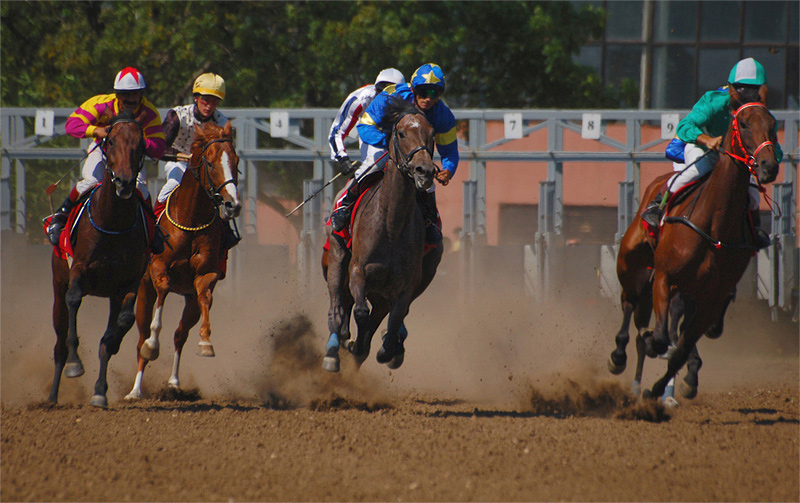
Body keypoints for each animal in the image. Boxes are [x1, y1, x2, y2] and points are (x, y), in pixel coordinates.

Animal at [47, 111, 152, 410]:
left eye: (141, 145)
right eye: (111, 141)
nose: (125, 182)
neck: (112, 222)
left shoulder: (129, 282)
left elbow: (123, 322)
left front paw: (111, 346)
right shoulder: (78, 271)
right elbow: (74, 300)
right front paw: (75, 364)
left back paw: (99, 391)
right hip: (58, 283)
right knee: (59, 341)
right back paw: (52, 395)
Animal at [125, 122, 241, 402]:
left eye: (236, 161)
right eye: (210, 162)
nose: (233, 205)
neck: (190, 220)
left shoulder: (206, 275)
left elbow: (205, 296)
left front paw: (206, 343)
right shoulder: (158, 269)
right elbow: (163, 290)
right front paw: (153, 345)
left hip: (188, 301)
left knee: (180, 335)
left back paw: (174, 382)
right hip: (143, 291)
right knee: (141, 337)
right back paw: (136, 389)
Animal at [320, 99, 444, 374]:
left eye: (432, 134)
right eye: (401, 133)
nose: (424, 171)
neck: (391, 225)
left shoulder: (406, 285)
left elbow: (395, 319)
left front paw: (388, 348)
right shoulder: (358, 271)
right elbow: (360, 312)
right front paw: (349, 342)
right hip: (336, 256)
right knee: (336, 306)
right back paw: (334, 350)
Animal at [616, 97, 780, 402]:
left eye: (773, 125)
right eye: (743, 123)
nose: (768, 166)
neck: (714, 226)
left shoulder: (712, 299)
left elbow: (680, 349)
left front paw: (661, 389)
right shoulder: (665, 277)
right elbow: (660, 338)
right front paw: (653, 349)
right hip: (631, 262)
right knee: (629, 303)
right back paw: (618, 356)